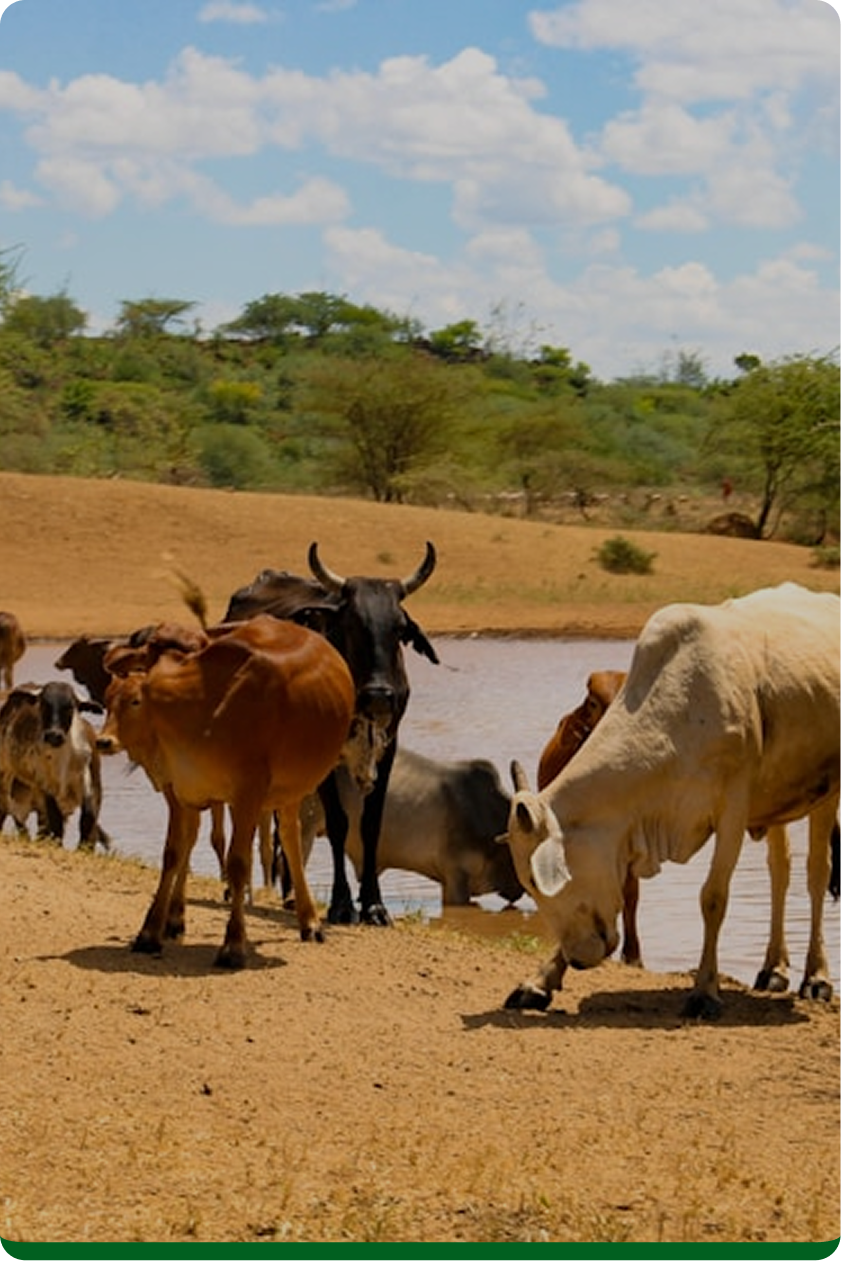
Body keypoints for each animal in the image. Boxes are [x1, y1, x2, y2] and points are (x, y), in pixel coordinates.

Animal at [0, 680, 110, 851]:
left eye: (70, 707)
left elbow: (88, 819)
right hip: (6, 777)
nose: (54, 735)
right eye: (43, 705)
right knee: (10, 810)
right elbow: (56, 821)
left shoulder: (93, 784)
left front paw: (84, 849)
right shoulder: (45, 788)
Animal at [97, 615, 355, 968]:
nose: (103, 741)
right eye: (151, 652)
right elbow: (174, 853)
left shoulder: (247, 794)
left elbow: (237, 863)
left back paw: (310, 921)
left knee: (289, 839)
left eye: (136, 700)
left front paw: (233, 944)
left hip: (288, 791)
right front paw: (151, 931)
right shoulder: (180, 790)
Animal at [223, 541, 439, 926]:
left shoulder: (388, 750)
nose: (379, 695)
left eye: (399, 628)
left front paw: (374, 905)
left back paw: (291, 895)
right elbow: (338, 824)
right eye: (352, 623)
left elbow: (370, 824)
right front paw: (341, 904)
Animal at [501, 583, 841, 1019]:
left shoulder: (732, 808)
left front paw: (704, 991)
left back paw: (816, 976)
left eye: (534, 880)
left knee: (816, 873)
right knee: (780, 871)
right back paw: (773, 969)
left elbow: (713, 898)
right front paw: (540, 981)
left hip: (826, 793)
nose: (579, 958)